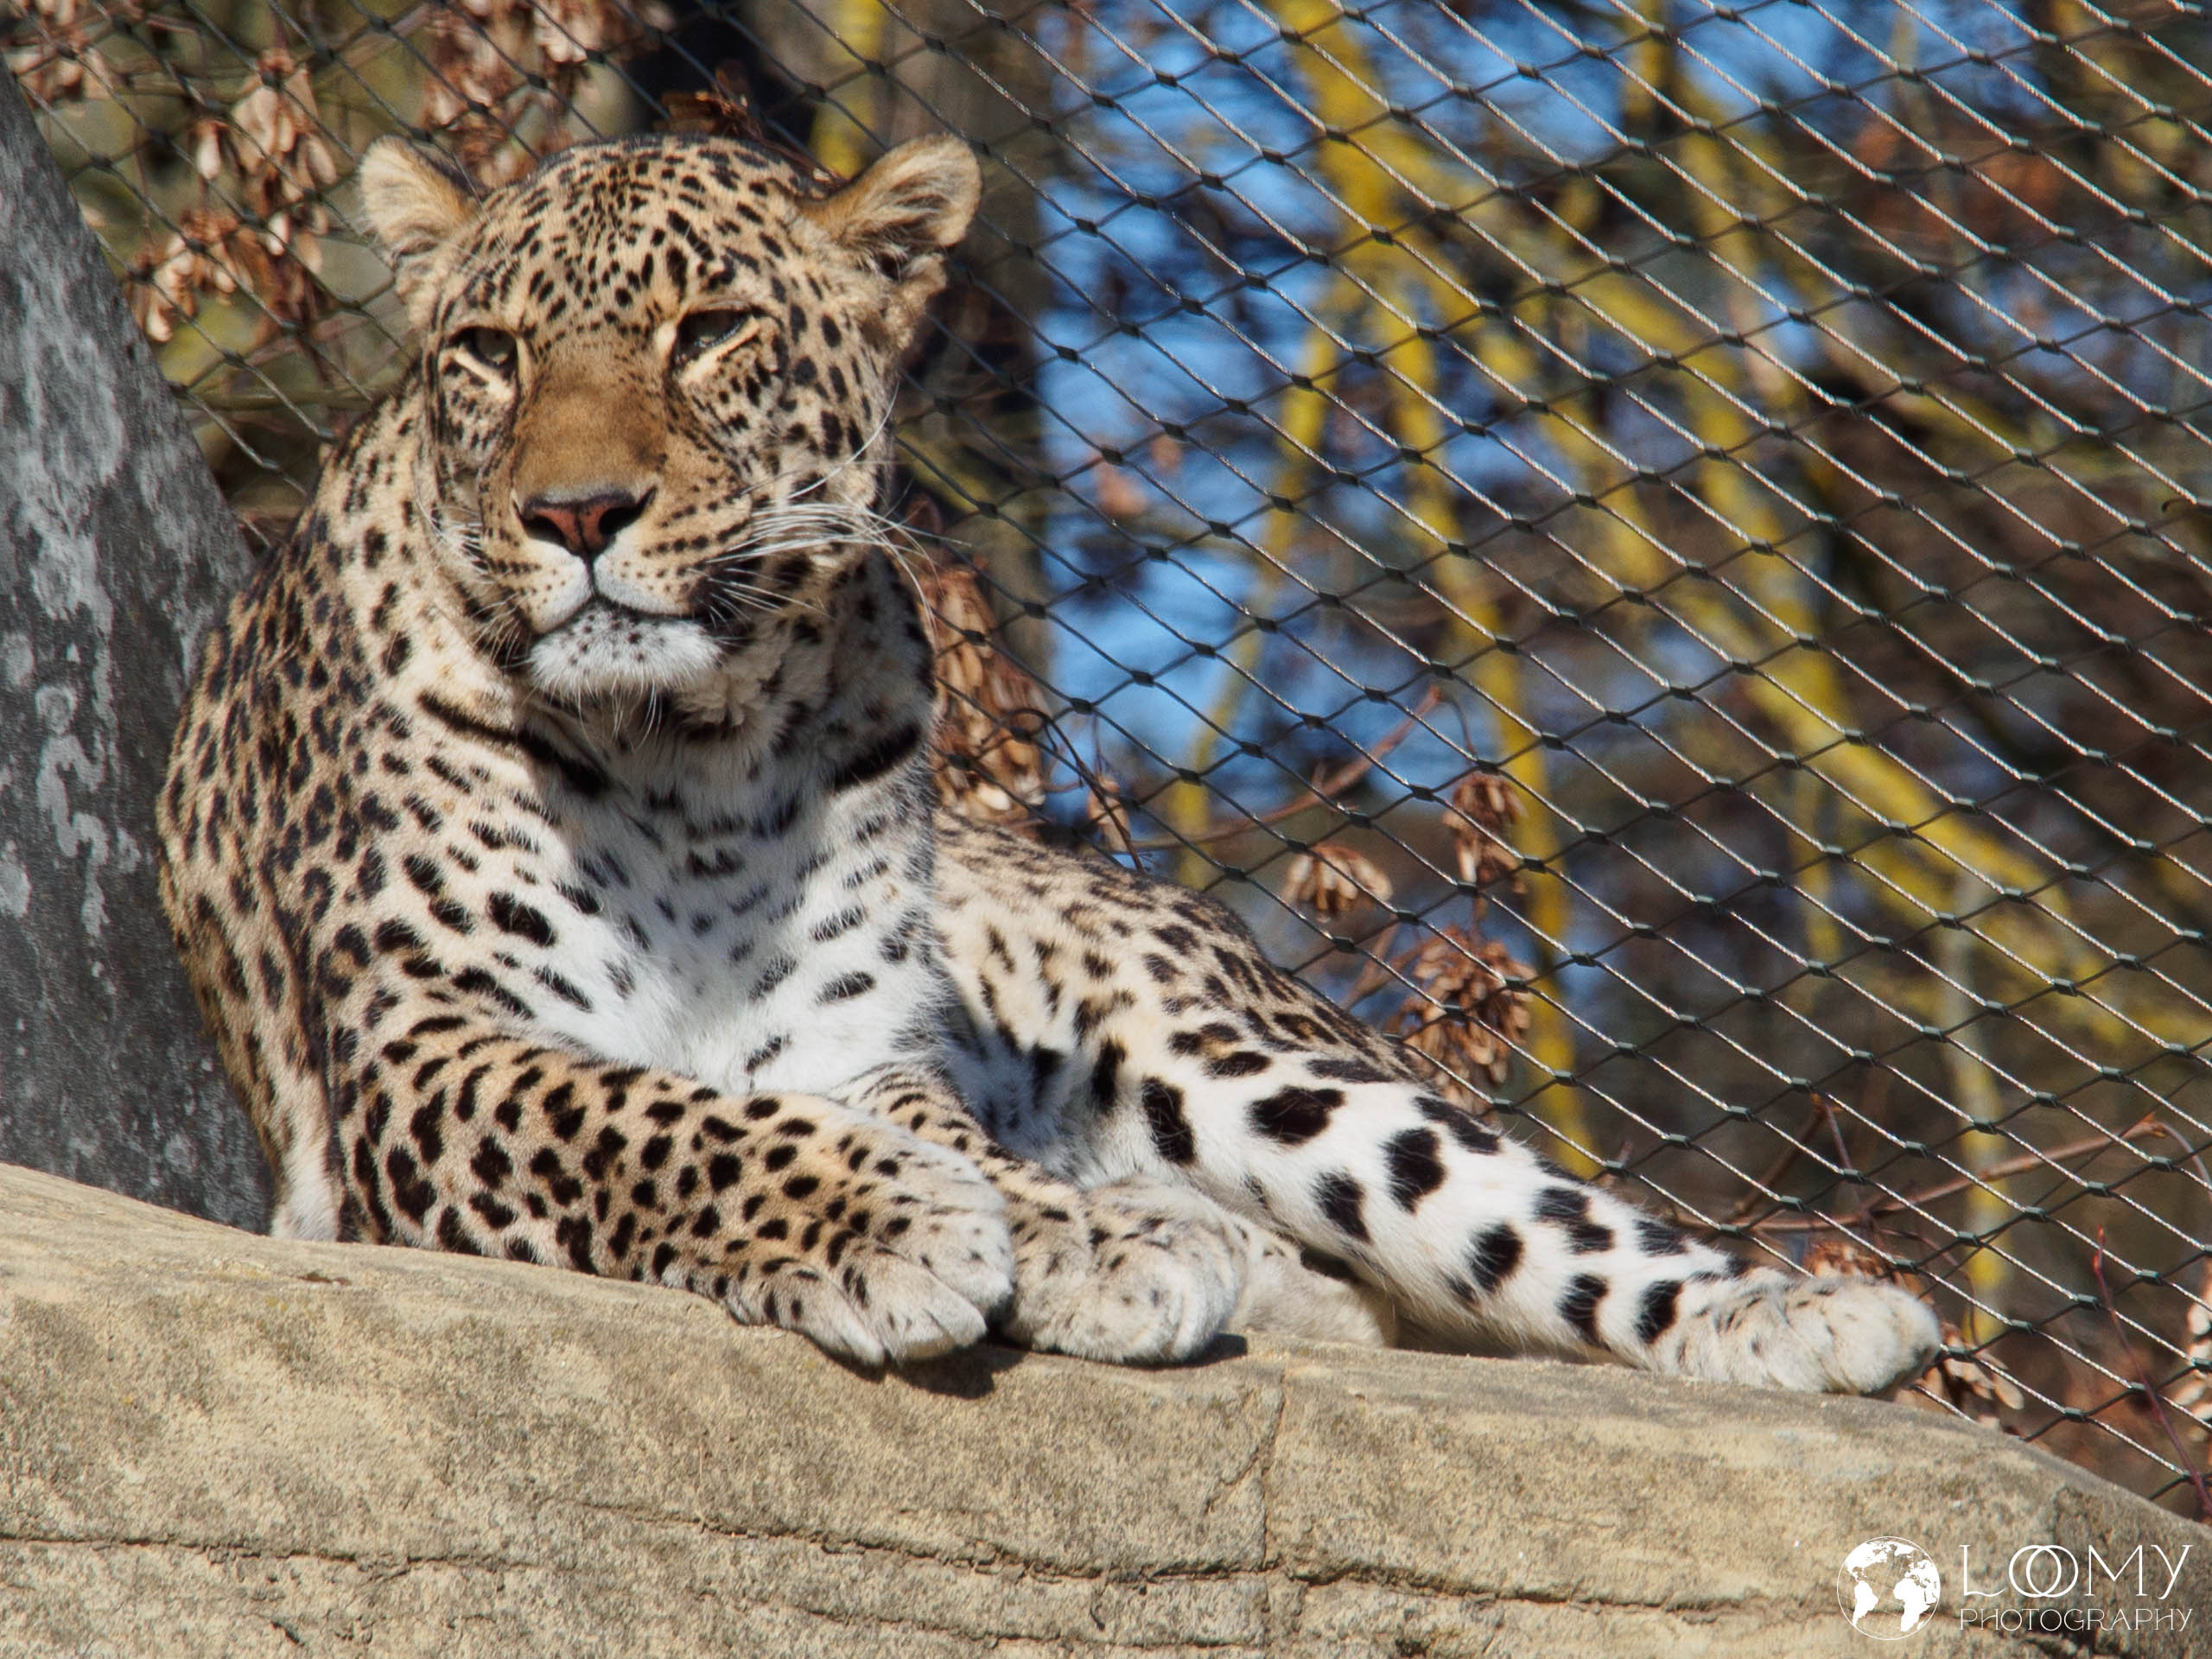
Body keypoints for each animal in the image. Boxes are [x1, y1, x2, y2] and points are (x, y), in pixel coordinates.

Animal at [156, 126, 1942, 1393]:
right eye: (489, 354)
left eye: (710, 332)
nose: (577, 512)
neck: (693, 751)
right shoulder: (421, 1043)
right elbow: (663, 1119)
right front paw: (923, 1228)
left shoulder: (853, 1042)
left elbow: (914, 1136)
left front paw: (1065, 1234)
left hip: (1252, 1059)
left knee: (1531, 1229)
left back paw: (1802, 1322)